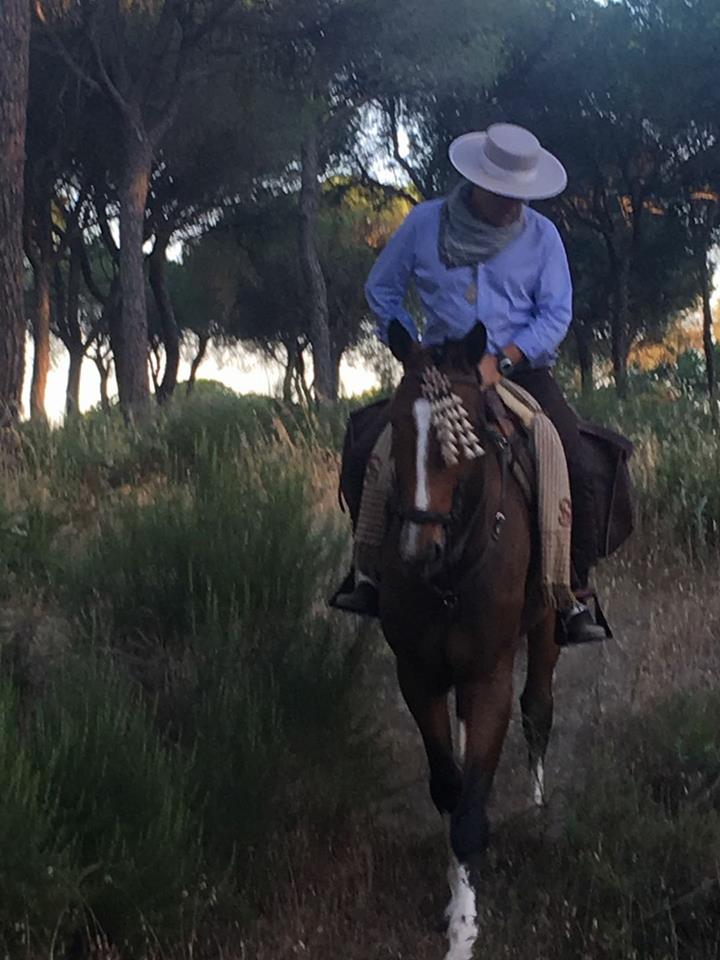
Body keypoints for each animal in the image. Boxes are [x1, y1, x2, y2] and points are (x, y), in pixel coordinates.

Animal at [378, 320, 560, 960]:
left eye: (465, 435)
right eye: (396, 424)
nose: (416, 550)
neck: (451, 575)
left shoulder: (489, 678)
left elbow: (472, 808)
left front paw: (463, 928)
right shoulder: (418, 674)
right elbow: (449, 786)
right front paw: (454, 892)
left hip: (547, 626)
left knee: (539, 709)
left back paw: (537, 809)